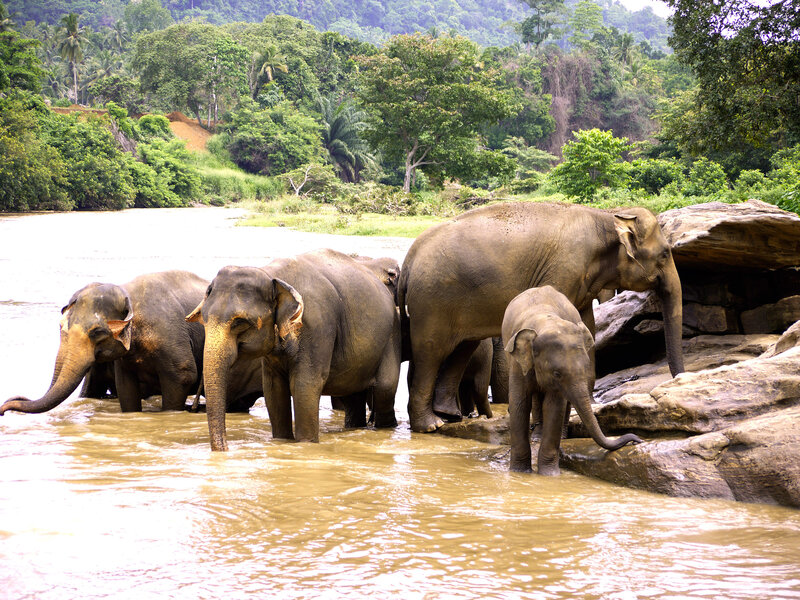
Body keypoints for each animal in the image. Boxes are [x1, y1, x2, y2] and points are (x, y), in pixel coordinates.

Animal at [0, 270, 262, 416]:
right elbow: (125, 387)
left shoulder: (170, 333)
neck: (128, 291)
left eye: (97, 332)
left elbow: (183, 375)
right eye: (60, 327)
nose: (5, 407)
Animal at [186, 249, 402, 451]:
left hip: (391, 336)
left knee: (384, 389)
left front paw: (306, 444)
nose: (225, 449)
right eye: (204, 319)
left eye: (240, 323)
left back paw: (386, 429)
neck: (272, 275)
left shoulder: (317, 325)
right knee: (352, 397)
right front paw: (281, 441)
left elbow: (304, 384)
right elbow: (273, 388)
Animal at [397, 201, 684, 433]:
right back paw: (431, 426)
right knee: (431, 352)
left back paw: (450, 416)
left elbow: (587, 328)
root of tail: (409, 259)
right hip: (432, 301)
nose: (677, 380)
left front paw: (588, 404)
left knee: (461, 349)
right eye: (665, 254)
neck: (607, 216)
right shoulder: (564, 268)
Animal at [502, 286, 643, 475]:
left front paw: (549, 475)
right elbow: (519, 404)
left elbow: (554, 407)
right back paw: (537, 437)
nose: (638, 440)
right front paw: (519, 473)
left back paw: (560, 436)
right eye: (556, 373)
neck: (546, 321)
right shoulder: (518, 363)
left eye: (585, 368)